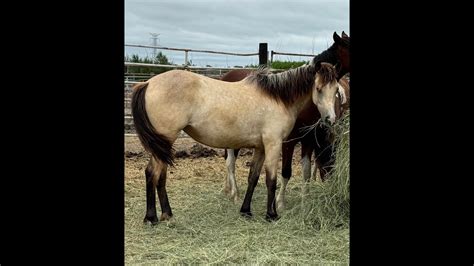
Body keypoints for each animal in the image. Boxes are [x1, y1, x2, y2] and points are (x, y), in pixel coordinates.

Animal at [132, 60, 340, 224]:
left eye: (336, 90)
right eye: (319, 89)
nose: (330, 119)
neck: (278, 98)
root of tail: (148, 83)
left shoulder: (260, 147)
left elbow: (253, 178)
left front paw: (246, 211)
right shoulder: (273, 144)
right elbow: (271, 179)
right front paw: (271, 214)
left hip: (163, 145)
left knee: (160, 176)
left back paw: (167, 214)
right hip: (165, 141)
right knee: (152, 173)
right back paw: (151, 218)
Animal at [221, 30, 348, 206]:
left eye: (336, 90)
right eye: (318, 89)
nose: (331, 185)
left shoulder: (308, 140)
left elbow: (306, 171)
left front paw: (305, 200)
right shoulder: (288, 142)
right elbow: (286, 172)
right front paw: (279, 202)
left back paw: (228, 189)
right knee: (230, 161)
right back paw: (235, 194)